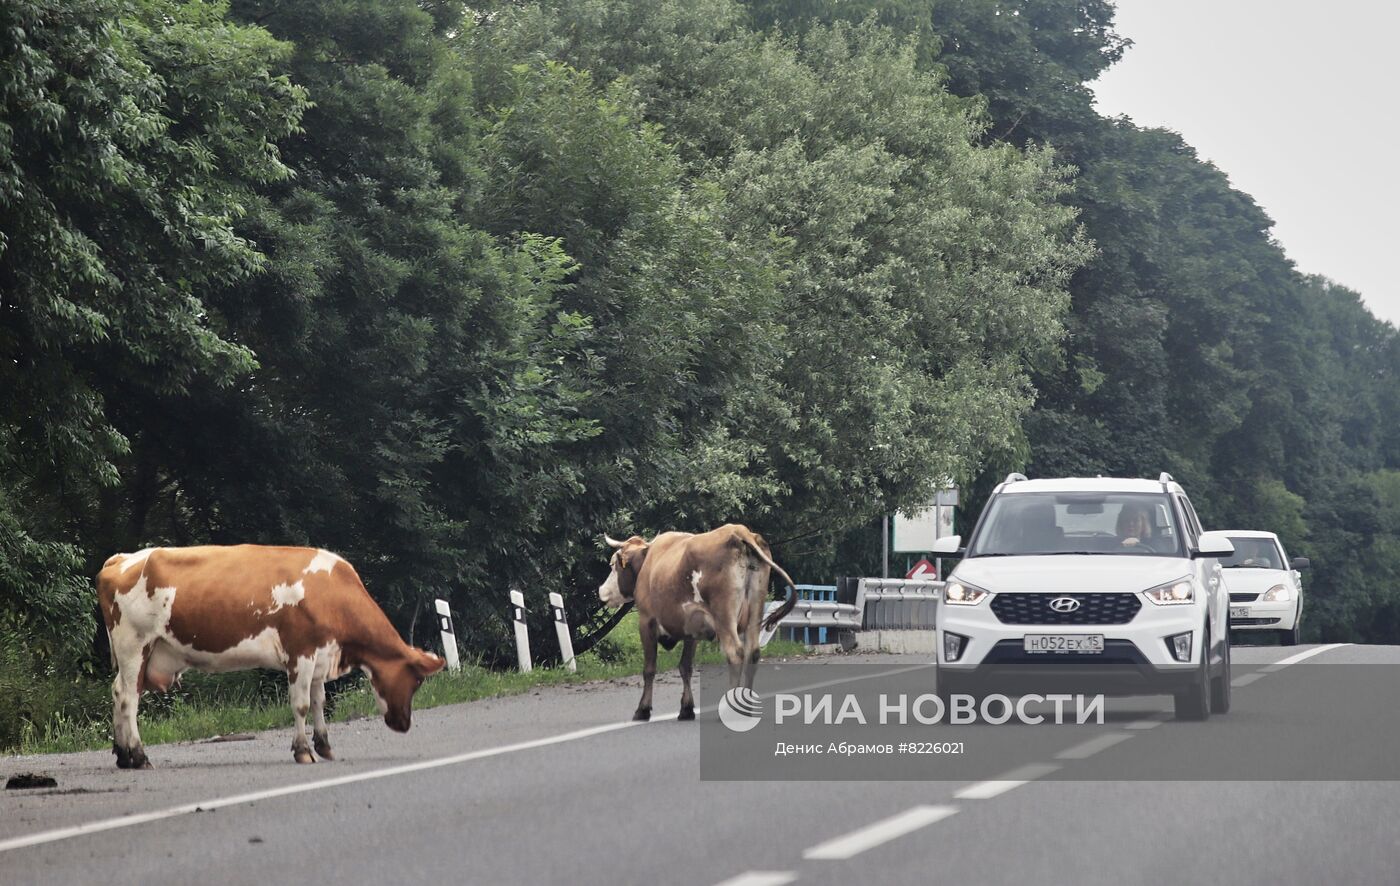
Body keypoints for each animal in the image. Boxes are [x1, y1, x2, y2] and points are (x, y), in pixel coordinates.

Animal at [97, 543, 442, 761]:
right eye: (417, 680)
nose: (403, 724)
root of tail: (121, 558)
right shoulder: (300, 652)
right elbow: (301, 704)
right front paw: (303, 751)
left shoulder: (320, 655)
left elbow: (319, 701)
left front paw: (324, 746)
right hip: (134, 644)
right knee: (128, 698)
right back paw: (138, 756)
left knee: (117, 691)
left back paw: (122, 754)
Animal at [599, 526, 800, 716]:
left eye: (612, 565)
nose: (602, 591)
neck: (649, 561)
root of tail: (738, 530)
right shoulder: (693, 627)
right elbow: (685, 667)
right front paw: (686, 708)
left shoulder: (646, 621)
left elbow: (649, 669)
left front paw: (643, 709)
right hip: (755, 612)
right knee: (753, 653)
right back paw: (747, 708)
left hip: (724, 618)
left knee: (735, 653)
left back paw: (731, 709)